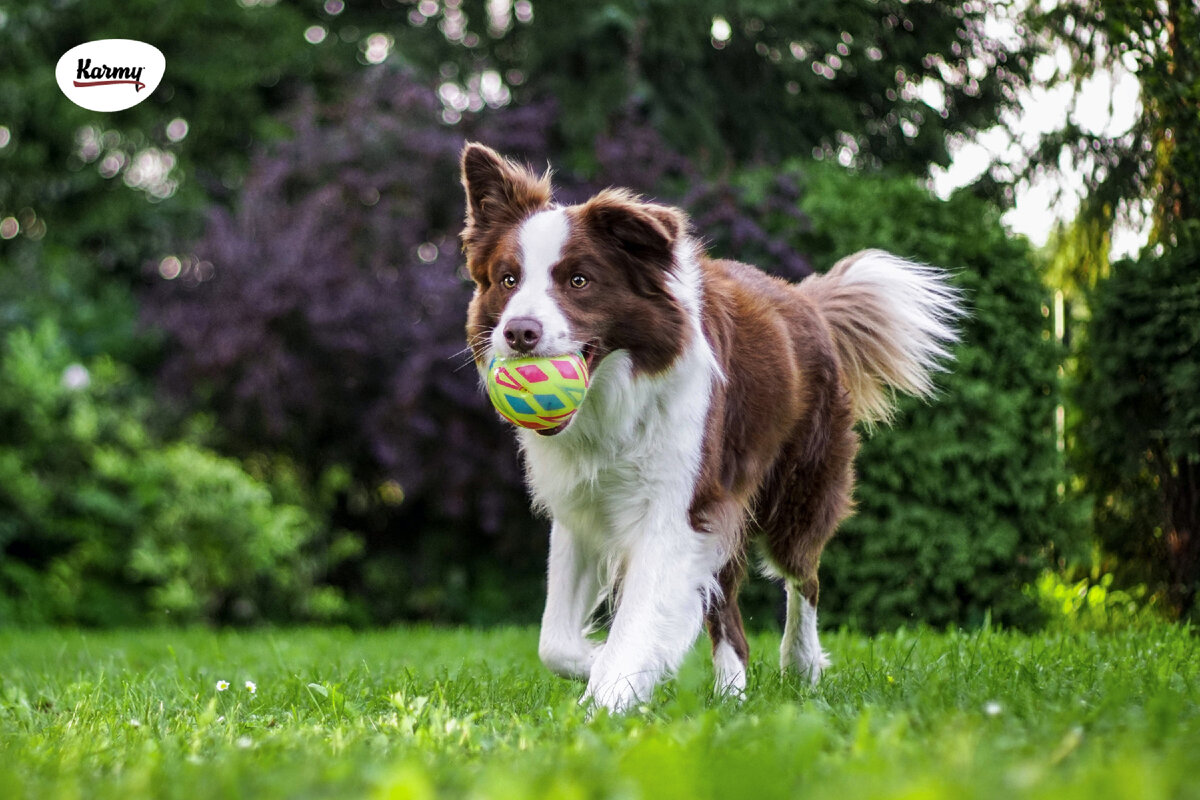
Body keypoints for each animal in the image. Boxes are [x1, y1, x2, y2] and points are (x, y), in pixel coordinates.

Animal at [453, 143, 960, 714]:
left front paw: (609, 697)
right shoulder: (583, 507)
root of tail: (806, 300)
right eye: (508, 280)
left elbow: (638, 619)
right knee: (729, 612)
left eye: (579, 281)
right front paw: (604, 663)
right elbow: (554, 642)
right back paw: (732, 694)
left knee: (803, 577)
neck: (613, 397)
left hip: (796, 491)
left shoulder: (678, 507)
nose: (519, 333)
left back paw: (800, 665)